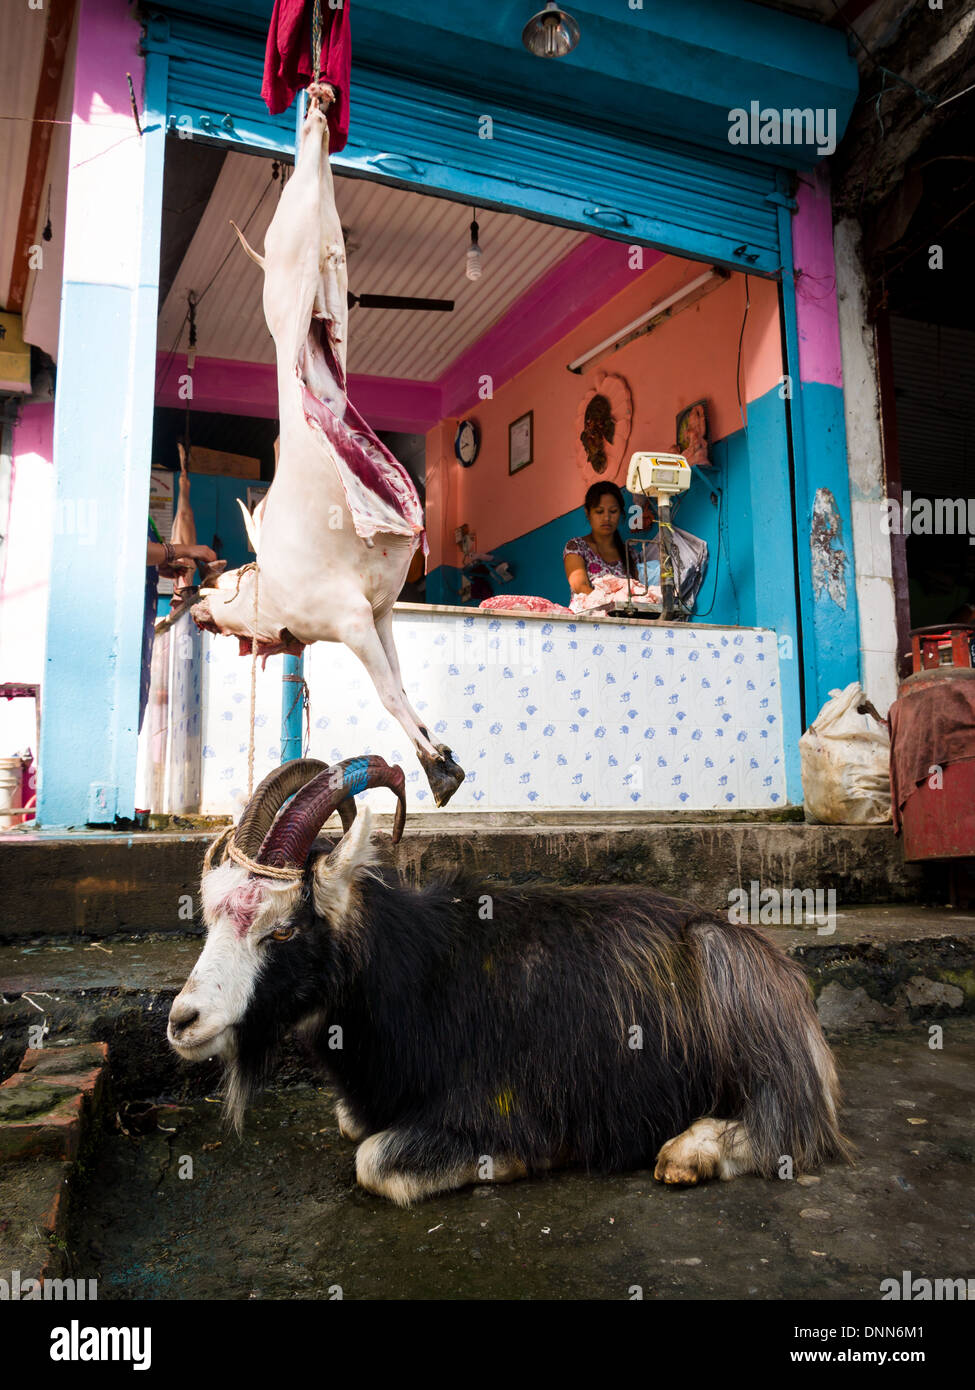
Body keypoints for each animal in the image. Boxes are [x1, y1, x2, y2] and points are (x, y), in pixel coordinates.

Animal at [168, 758, 851, 1205]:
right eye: (211, 916)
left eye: (282, 931)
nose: (182, 1022)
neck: (417, 973)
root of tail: (786, 977)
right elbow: (350, 1125)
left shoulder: (495, 1106)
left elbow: (373, 1160)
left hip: (730, 983)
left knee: (793, 1120)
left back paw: (689, 1152)